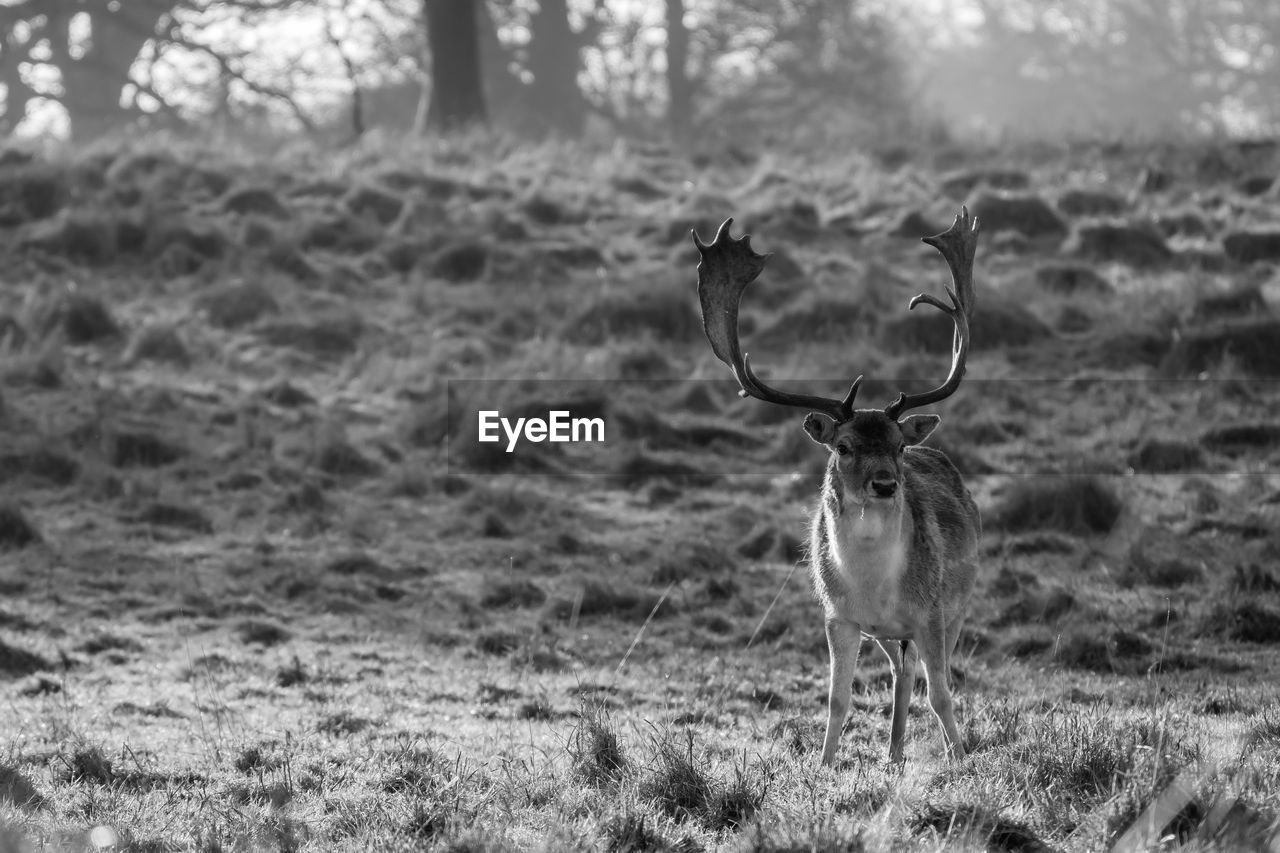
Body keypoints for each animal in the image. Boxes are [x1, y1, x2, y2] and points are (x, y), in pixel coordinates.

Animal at [691, 207, 977, 763]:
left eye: (898, 445)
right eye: (843, 447)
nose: (886, 484)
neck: (873, 585)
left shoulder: (933, 611)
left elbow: (942, 694)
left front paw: (961, 757)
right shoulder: (838, 618)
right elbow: (837, 698)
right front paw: (824, 764)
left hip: (960, 600)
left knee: (924, 672)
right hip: (884, 632)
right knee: (900, 669)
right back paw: (893, 753)